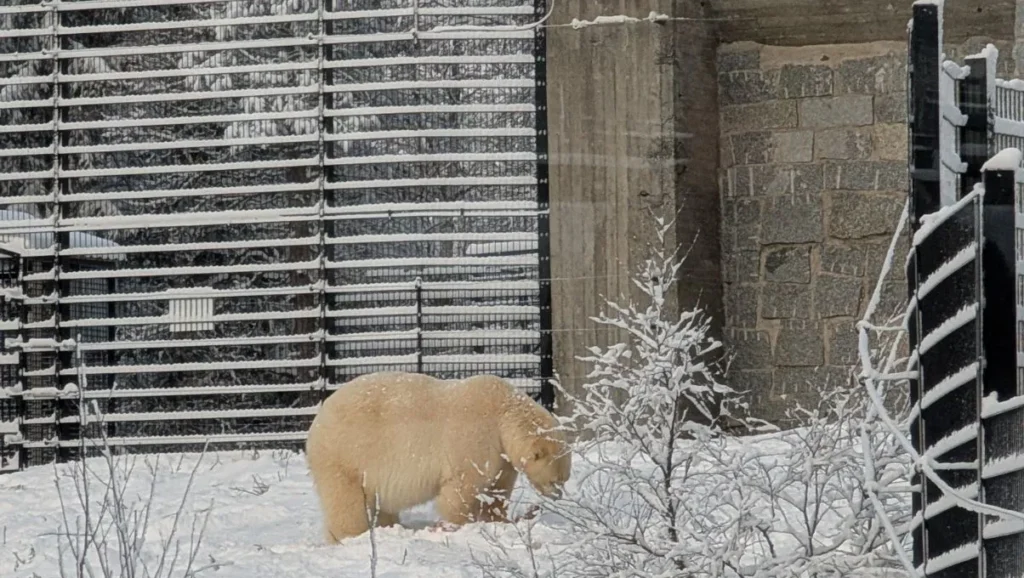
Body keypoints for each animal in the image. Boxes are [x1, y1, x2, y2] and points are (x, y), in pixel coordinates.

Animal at [304, 371, 572, 544]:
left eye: (564, 479)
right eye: (556, 480)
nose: (558, 496)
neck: (503, 411)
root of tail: (317, 422)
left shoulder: (501, 456)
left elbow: (496, 491)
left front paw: (502, 519)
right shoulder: (475, 439)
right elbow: (462, 489)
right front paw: (454, 526)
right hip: (347, 456)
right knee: (346, 502)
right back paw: (350, 536)